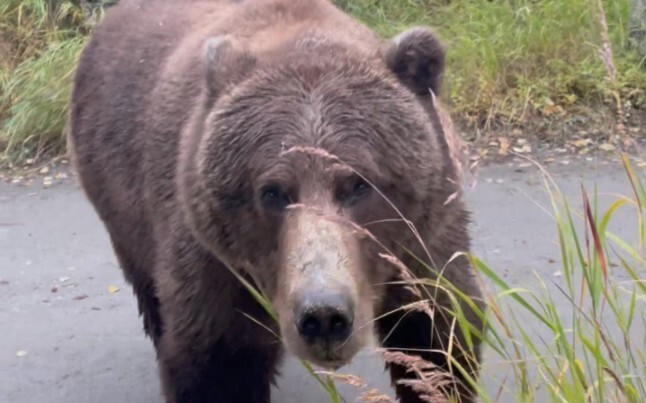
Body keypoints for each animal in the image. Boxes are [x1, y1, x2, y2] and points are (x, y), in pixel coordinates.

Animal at [67, 0, 487, 402]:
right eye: (272, 191)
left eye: (358, 184)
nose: (323, 315)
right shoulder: (217, 260)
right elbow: (218, 364)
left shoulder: (421, 243)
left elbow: (437, 336)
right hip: (121, 201)